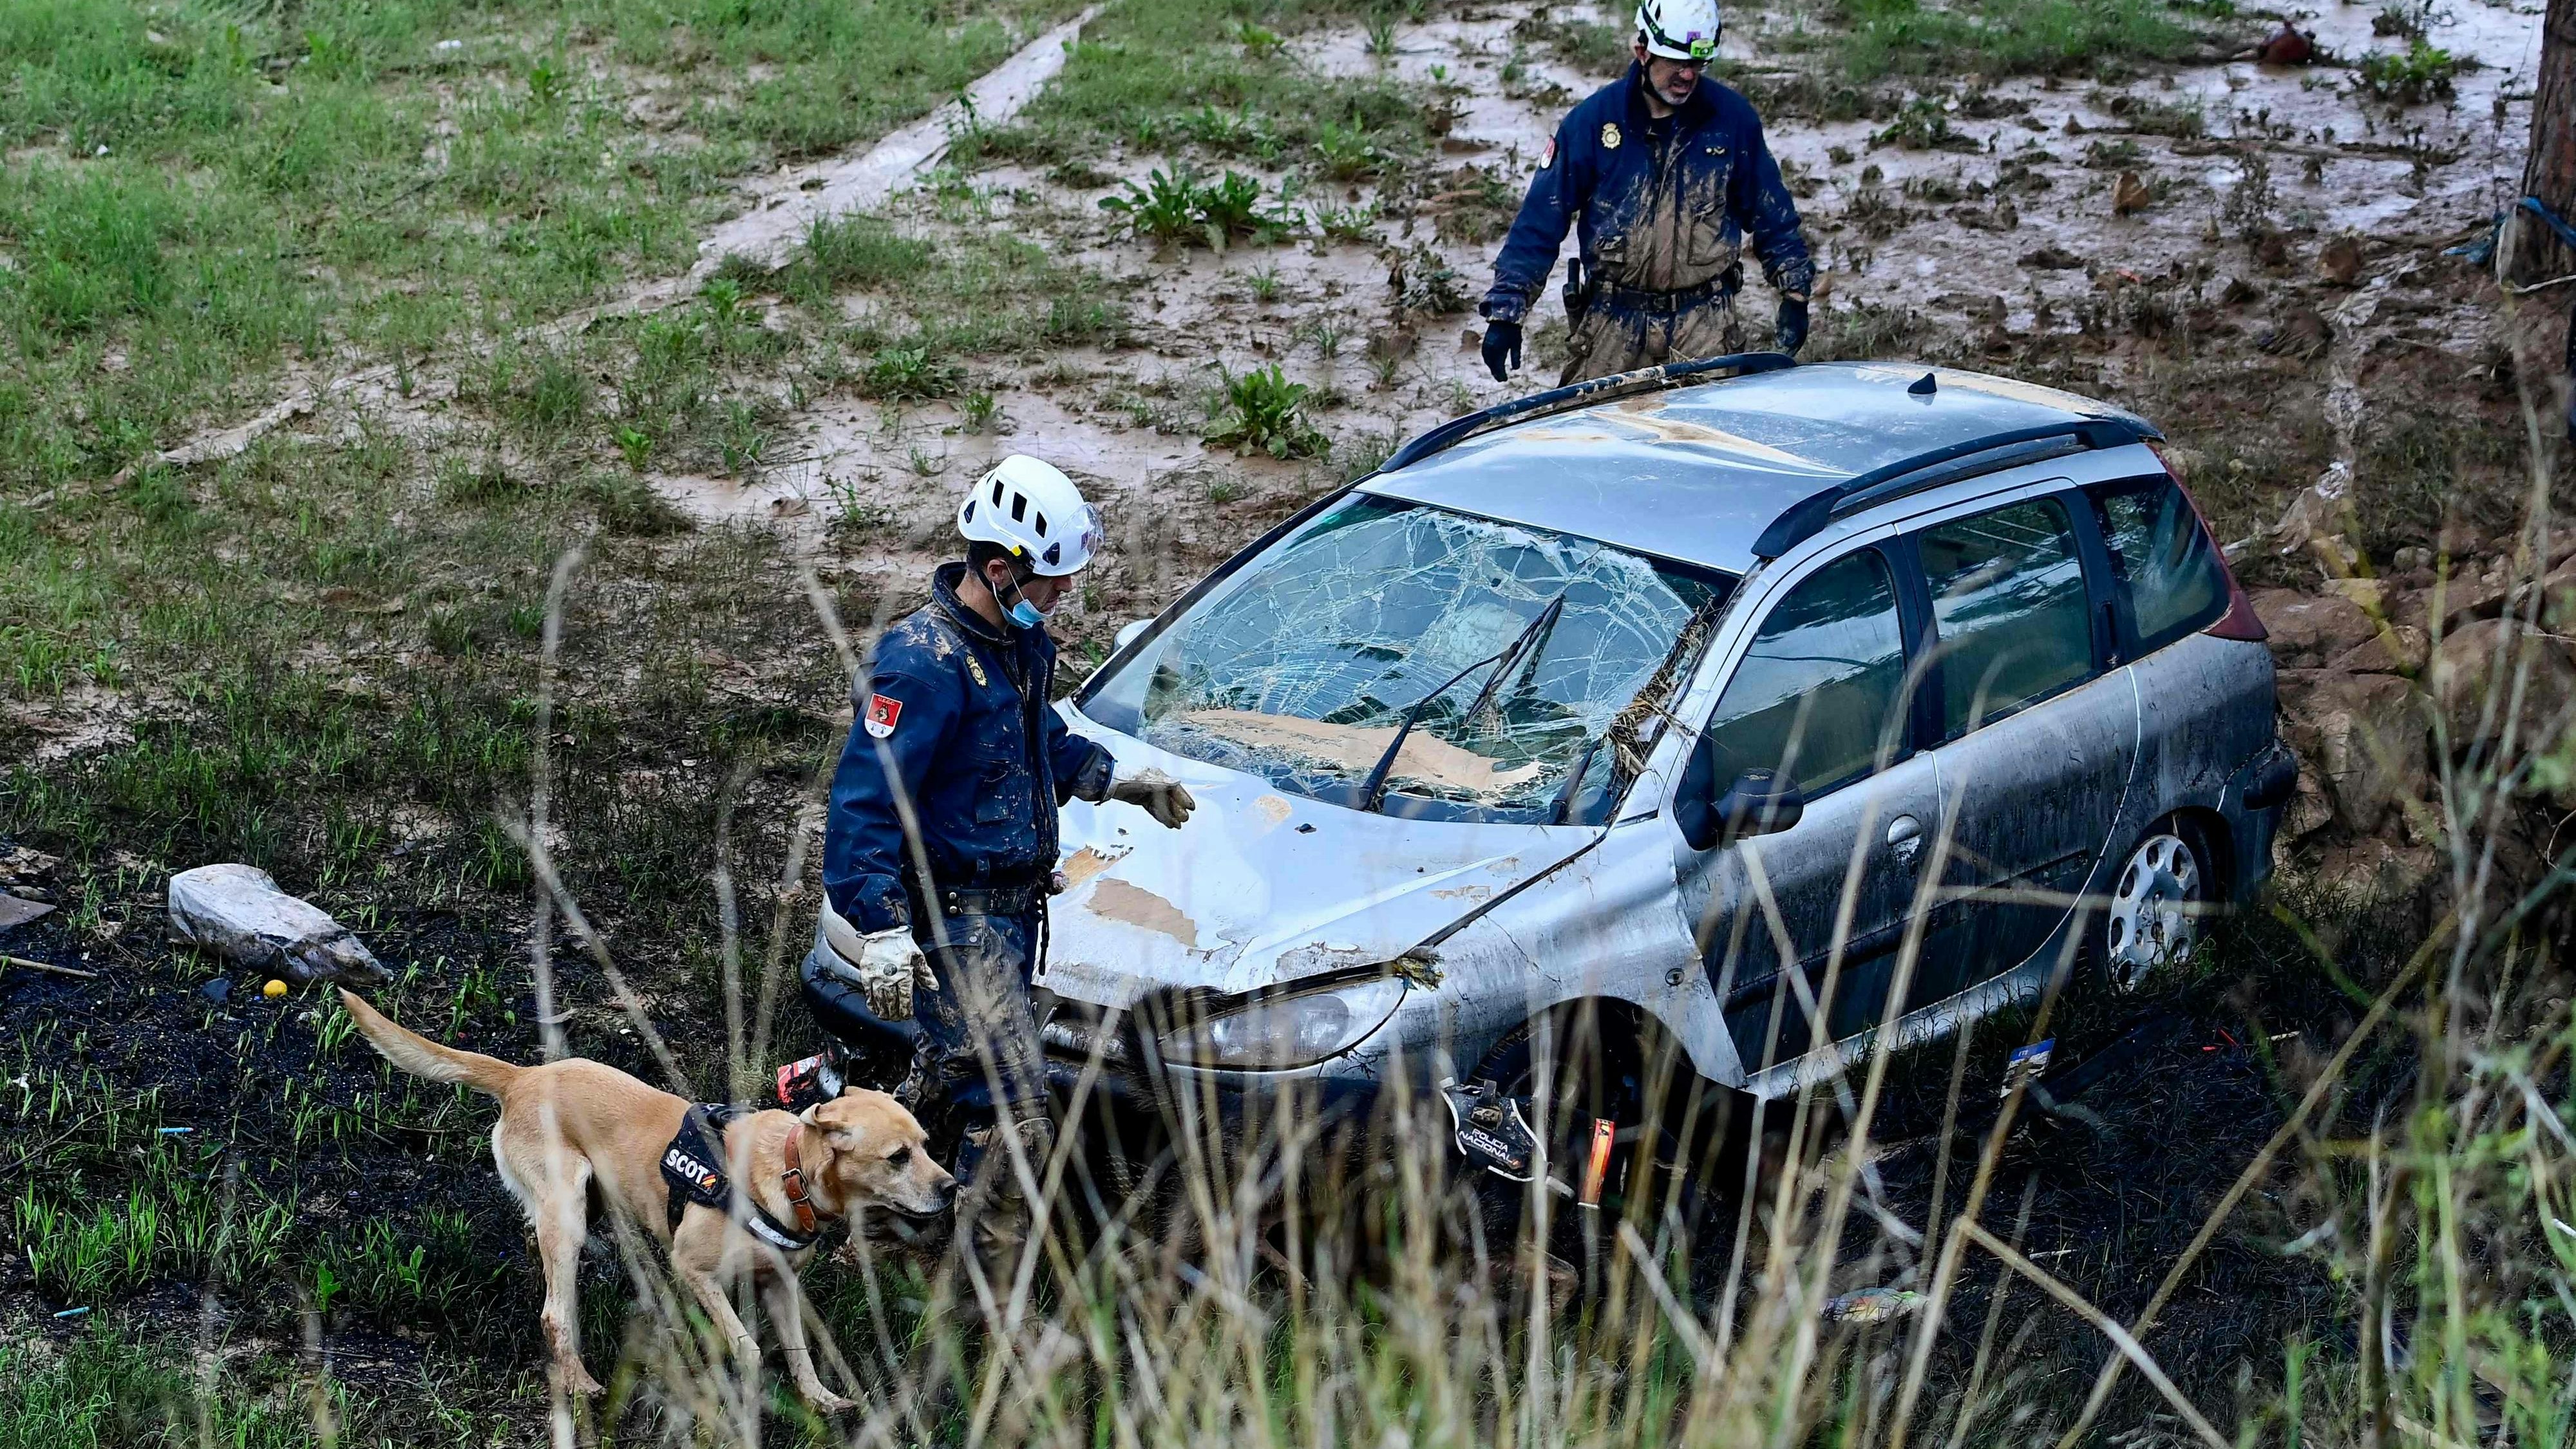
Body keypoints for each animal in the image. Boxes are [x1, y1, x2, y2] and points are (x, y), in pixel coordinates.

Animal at [337, 985, 953, 1402]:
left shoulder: (778, 1285)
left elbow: (800, 1352)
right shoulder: (694, 1269)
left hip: (588, 1209)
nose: (952, 1188)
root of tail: (522, 1078)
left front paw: (821, 1402)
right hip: (570, 1213)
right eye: (898, 1157)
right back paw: (581, 1384)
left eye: (926, 1145)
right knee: (555, 1314)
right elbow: (748, 1347)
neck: (786, 1171)